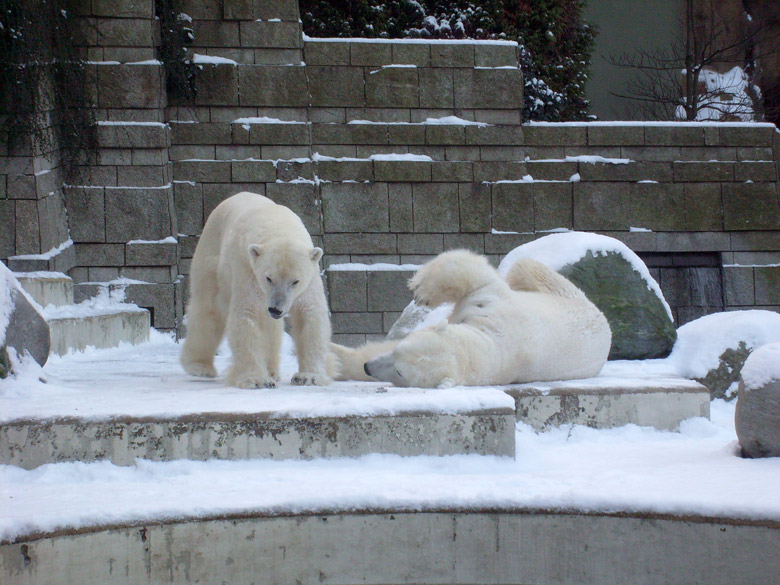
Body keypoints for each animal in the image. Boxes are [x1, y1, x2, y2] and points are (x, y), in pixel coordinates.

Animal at [181, 192, 330, 390]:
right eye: (268, 278)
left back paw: (272, 370)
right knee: (208, 308)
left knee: (270, 326)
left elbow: (310, 314)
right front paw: (257, 380)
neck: (279, 227)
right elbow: (246, 315)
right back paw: (200, 366)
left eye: (295, 281)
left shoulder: (310, 277)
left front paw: (308, 377)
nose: (276, 309)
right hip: (211, 256)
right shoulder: (247, 268)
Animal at [332, 248, 612, 388]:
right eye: (400, 348)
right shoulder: (490, 304)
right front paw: (422, 290)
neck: (491, 340)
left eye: (400, 371)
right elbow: (475, 276)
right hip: (565, 294)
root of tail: (606, 325)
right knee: (524, 267)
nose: (369, 367)